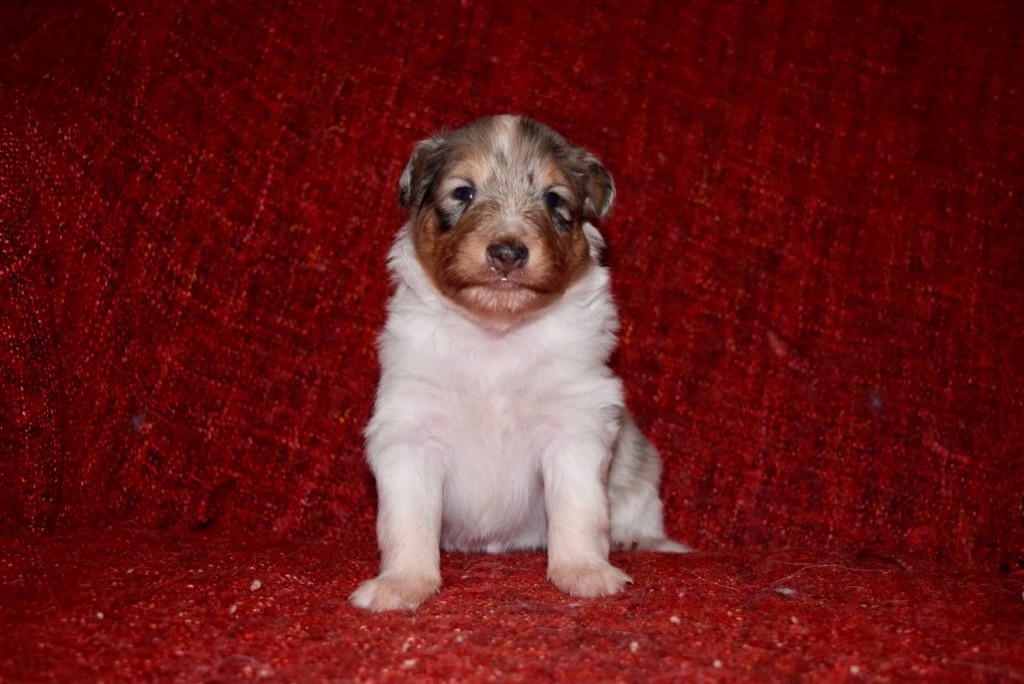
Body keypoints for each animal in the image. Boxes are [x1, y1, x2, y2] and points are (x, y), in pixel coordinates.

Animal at [350, 115, 689, 612]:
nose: (507, 253)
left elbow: (578, 507)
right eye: (463, 192)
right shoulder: (409, 429)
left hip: (640, 462)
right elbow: (406, 517)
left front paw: (585, 573)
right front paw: (401, 583)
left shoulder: (575, 426)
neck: (497, 335)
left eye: (553, 198)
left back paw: (632, 537)